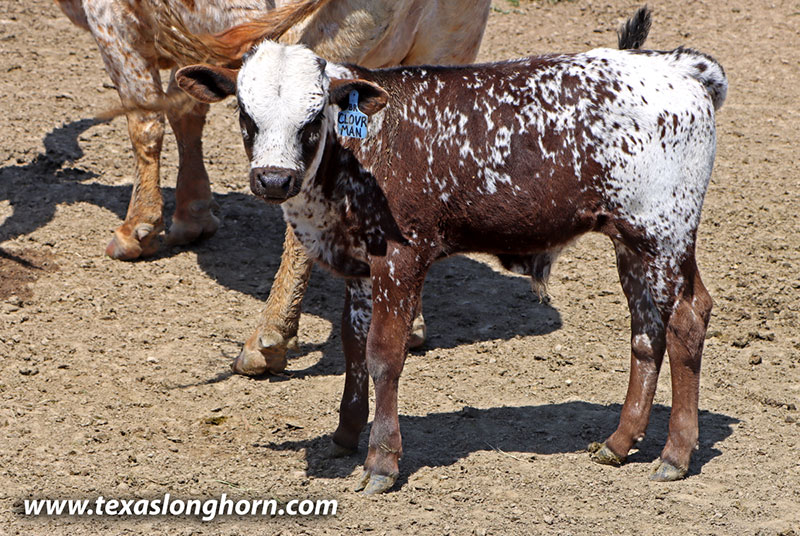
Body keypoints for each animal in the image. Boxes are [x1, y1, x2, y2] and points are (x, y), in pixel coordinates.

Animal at [56, 0, 491, 372]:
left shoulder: (113, 22)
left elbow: (145, 120)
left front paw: (138, 230)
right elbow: (186, 111)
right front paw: (192, 215)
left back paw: (268, 339)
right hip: (444, 52)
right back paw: (409, 323)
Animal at [175, 6, 726, 493]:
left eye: (313, 119)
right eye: (246, 115)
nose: (273, 179)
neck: (360, 150)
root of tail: (675, 66)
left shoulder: (400, 260)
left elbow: (383, 355)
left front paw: (381, 461)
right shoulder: (359, 267)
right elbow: (353, 347)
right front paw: (345, 434)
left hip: (665, 234)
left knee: (686, 321)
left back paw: (675, 454)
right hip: (631, 243)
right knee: (646, 332)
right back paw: (619, 441)